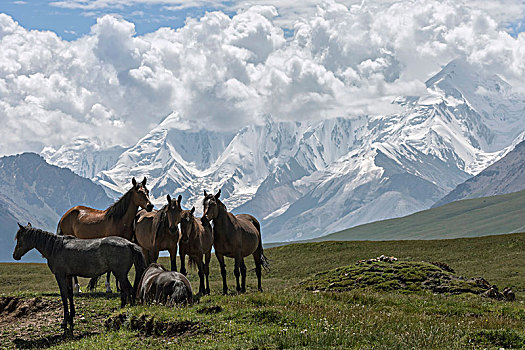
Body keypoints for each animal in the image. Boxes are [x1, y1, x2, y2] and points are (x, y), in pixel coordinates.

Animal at [13, 223, 146, 334]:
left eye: (19, 238)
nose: (15, 256)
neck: (56, 248)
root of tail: (129, 244)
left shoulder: (60, 276)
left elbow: (64, 295)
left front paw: (65, 322)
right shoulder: (68, 276)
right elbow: (70, 294)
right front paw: (71, 317)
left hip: (120, 274)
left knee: (129, 290)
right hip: (120, 274)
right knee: (125, 291)